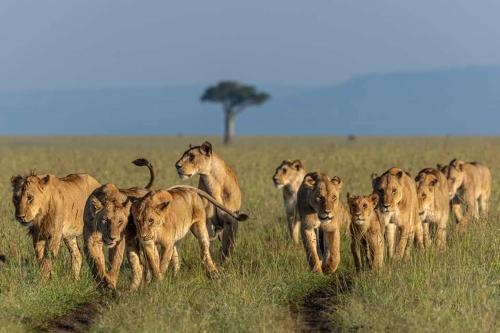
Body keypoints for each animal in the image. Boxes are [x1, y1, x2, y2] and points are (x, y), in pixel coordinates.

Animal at [83, 157, 162, 290]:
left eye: (120, 221)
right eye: (105, 220)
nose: (112, 237)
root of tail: (145, 189)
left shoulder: (119, 241)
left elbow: (115, 263)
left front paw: (110, 283)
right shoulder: (91, 239)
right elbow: (97, 263)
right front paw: (104, 283)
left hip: (146, 239)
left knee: (154, 260)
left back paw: (157, 282)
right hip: (131, 243)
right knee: (138, 267)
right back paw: (132, 290)